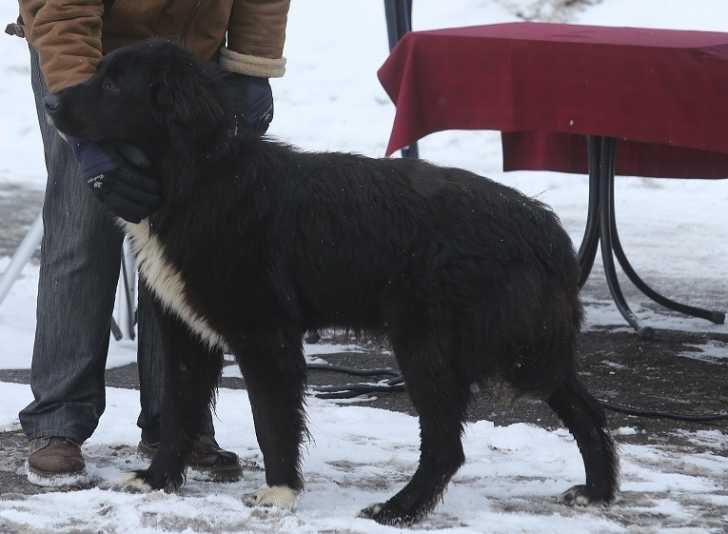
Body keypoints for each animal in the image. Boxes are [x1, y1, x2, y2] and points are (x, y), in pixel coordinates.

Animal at [46, 40, 618, 525]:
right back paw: (597, 490)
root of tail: (543, 227)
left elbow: (272, 418)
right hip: (519, 348)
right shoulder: (185, 332)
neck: (197, 177)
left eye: (114, 85)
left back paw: (399, 510)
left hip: (433, 347)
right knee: (584, 407)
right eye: (99, 71)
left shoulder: (266, 336)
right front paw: (157, 480)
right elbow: (178, 416)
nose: (49, 103)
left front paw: (279, 493)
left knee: (447, 447)